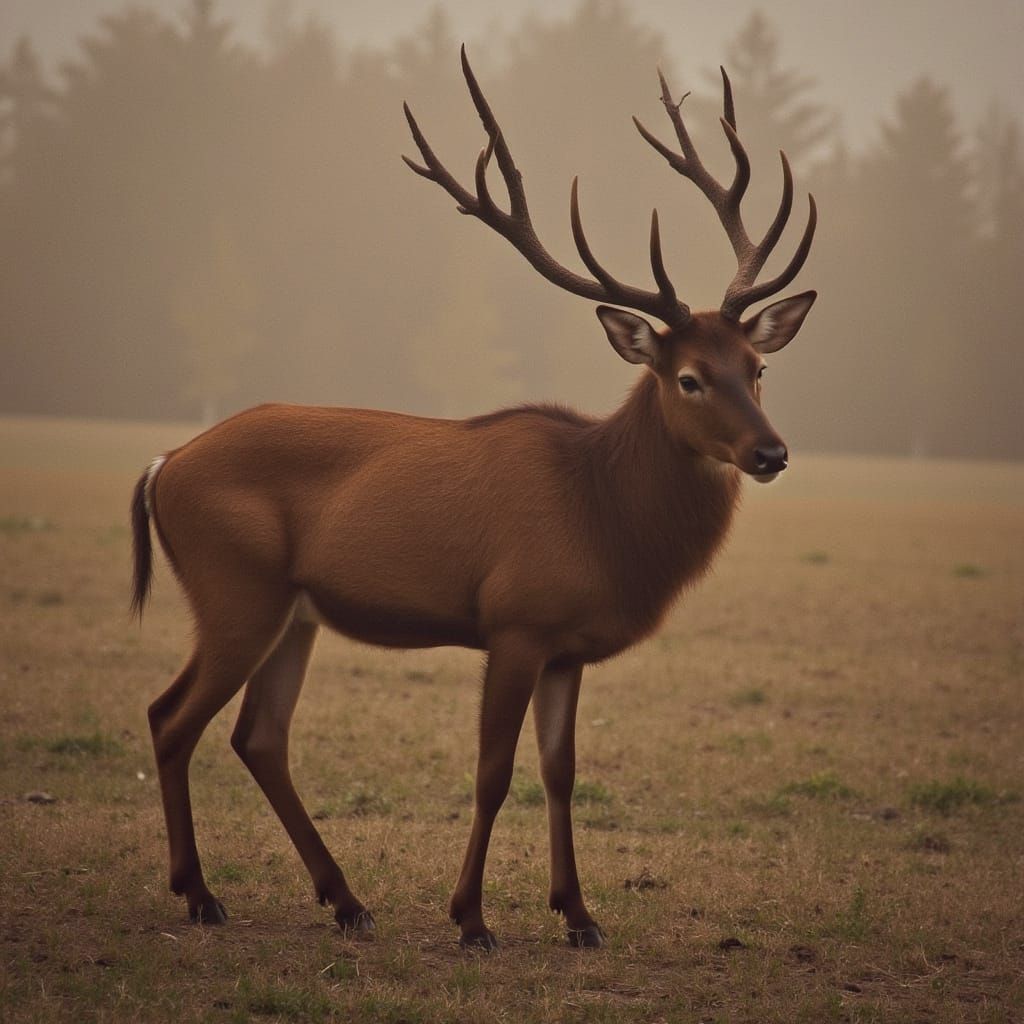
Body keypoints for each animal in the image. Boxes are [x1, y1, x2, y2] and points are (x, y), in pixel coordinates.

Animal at [130, 47, 816, 951]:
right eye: (689, 378)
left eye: (759, 367)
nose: (770, 453)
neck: (601, 518)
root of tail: (163, 465)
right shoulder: (515, 620)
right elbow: (493, 772)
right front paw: (472, 918)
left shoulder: (567, 646)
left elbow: (561, 772)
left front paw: (580, 916)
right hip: (233, 588)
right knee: (171, 718)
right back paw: (202, 894)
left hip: (292, 610)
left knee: (258, 735)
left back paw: (344, 900)